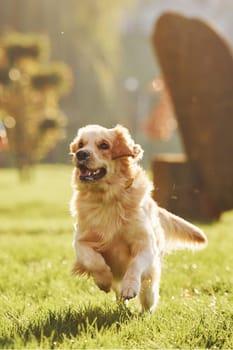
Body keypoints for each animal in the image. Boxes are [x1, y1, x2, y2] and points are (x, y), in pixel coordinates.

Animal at [69, 124, 208, 310]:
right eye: (81, 144)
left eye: (104, 145)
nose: (81, 154)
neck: (108, 198)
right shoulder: (81, 240)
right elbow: (93, 260)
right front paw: (104, 280)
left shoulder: (145, 244)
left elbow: (135, 265)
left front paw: (130, 287)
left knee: (149, 293)